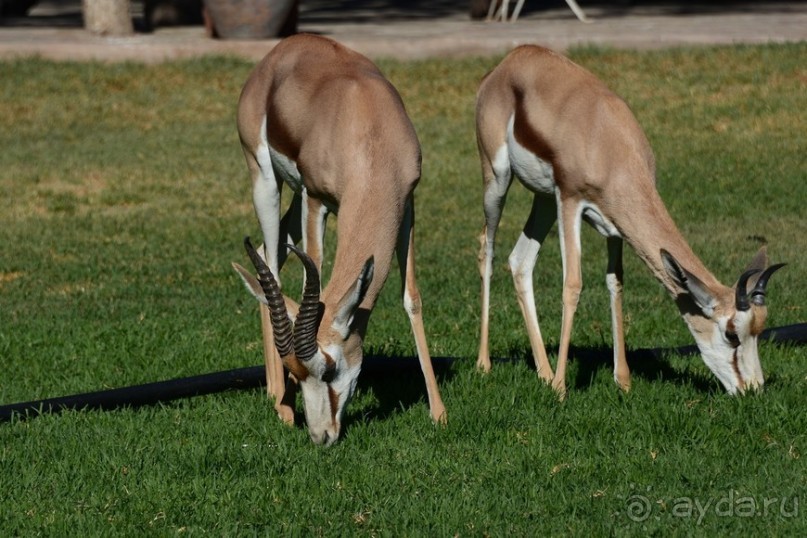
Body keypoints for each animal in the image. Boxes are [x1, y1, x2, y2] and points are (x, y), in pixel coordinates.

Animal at [230, 34, 448, 444]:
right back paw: (279, 402)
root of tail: (279, 52)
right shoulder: (316, 200)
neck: (366, 131)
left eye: (328, 371)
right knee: (274, 269)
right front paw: (287, 403)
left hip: (292, 200)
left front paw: (438, 412)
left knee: (269, 251)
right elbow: (310, 276)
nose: (321, 437)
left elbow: (411, 297)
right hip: (265, 180)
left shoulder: (406, 203)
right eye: (298, 373)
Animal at [476, 46, 784, 396]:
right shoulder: (569, 201)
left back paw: (543, 372)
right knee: (487, 248)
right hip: (498, 179)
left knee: (520, 261)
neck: (608, 142)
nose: (753, 388)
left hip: (543, 200)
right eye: (732, 334)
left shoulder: (614, 226)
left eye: (759, 329)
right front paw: (561, 388)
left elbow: (615, 282)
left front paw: (622, 381)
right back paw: (486, 364)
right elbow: (573, 285)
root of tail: (509, 61)